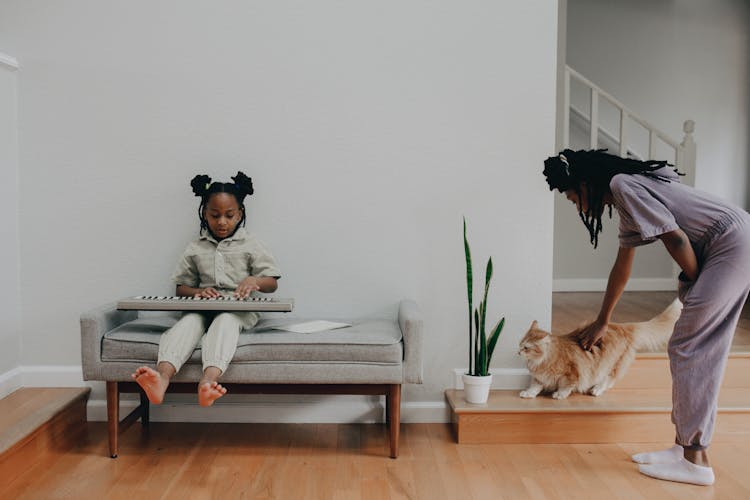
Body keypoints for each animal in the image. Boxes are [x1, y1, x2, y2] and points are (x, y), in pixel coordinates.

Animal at [520, 298, 684, 400]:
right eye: (520, 344)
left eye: (527, 348)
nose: (519, 352)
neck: (540, 362)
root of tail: (623, 326)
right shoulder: (539, 378)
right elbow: (534, 387)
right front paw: (528, 394)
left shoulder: (571, 374)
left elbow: (566, 386)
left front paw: (559, 395)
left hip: (610, 364)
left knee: (609, 379)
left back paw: (596, 389)